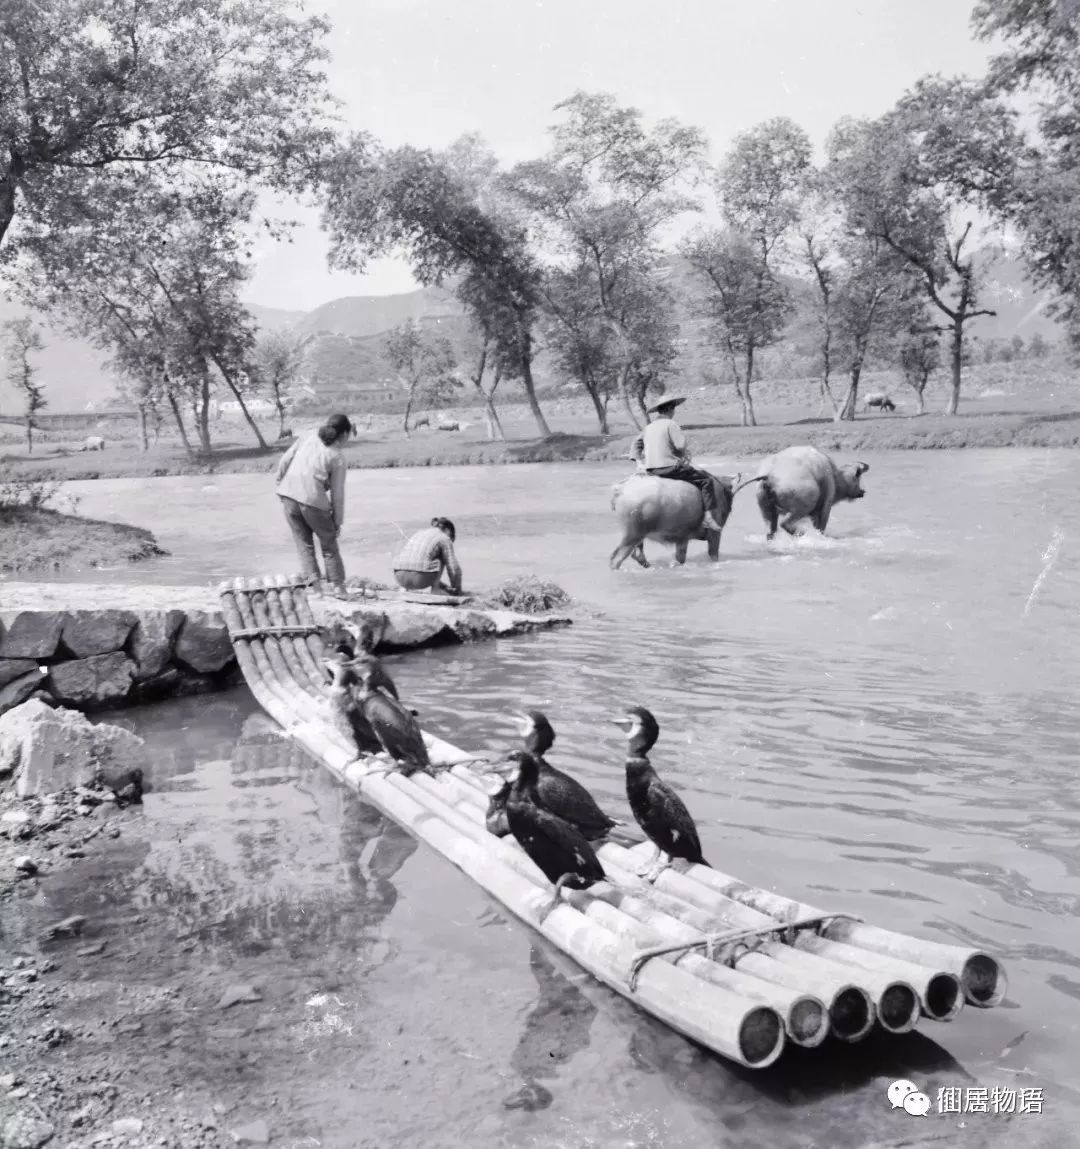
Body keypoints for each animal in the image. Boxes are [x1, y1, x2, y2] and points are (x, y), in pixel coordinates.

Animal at [611, 471, 762, 569]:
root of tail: (621, 489)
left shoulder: (682, 538)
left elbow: (679, 559)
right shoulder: (715, 534)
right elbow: (713, 555)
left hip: (638, 536)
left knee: (637, 554)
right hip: (632, 535)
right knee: (616, 558)